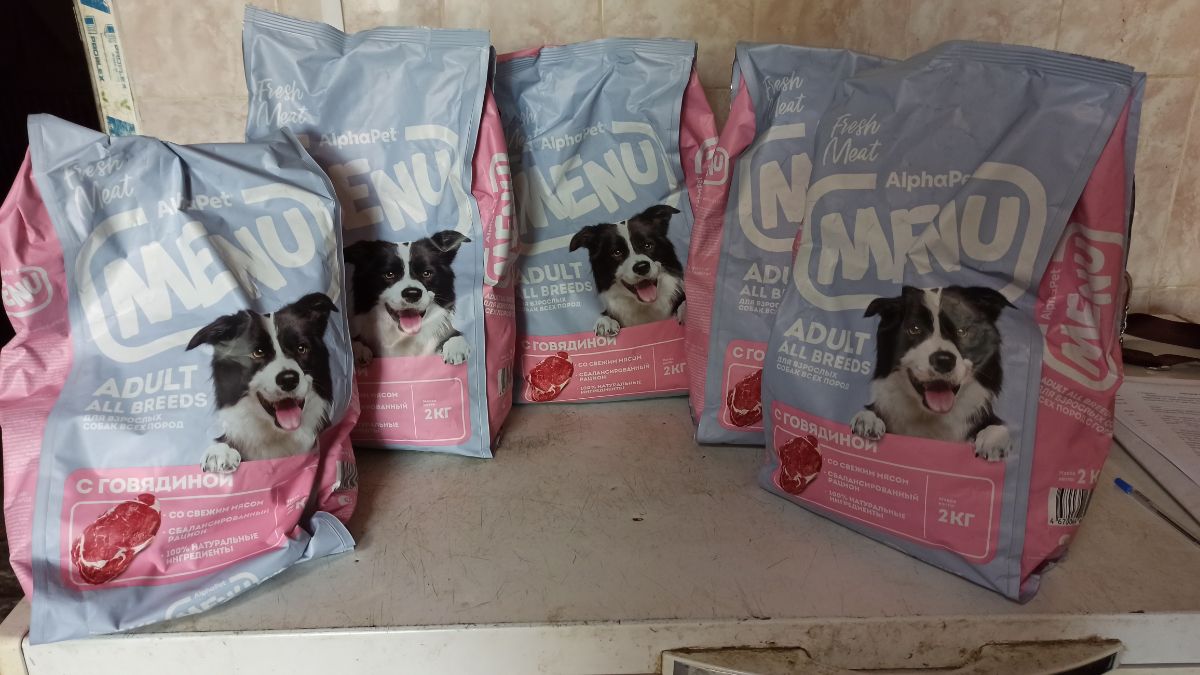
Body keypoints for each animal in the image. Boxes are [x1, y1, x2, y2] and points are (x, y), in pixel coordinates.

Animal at [343, 231, 471, 368]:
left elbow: (454, 334)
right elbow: (355, 342)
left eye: (426, 273)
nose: (412, 294)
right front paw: (359, 351)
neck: (405, 336)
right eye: (389, 274)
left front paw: (455, 347)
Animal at [568, 204, 685, 337]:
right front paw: (606, 321)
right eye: (616, 252)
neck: (645, 306)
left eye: (648, 245)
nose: (642, 267)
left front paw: (686, 309)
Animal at [849, 285, 1014, 461]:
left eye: (962, 331)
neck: (931, 417)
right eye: (914, 329)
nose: (944, 360)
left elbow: (996, 425)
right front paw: (867, 419)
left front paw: (993, 439)